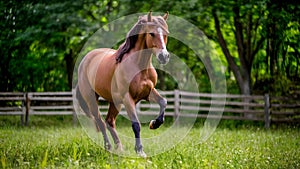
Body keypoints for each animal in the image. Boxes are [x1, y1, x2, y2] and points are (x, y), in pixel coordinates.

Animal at [76, 11, 170, 157]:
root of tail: (85, 60)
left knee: (109, 121)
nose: (164, 56)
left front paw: (154, 124)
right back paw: (108, 147)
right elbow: (136, 124)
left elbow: (163, 102)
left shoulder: (148, 92)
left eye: (166, 34)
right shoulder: (127, 98)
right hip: (92, 100)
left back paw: (119, 148)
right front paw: (140, 151)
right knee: (100, 122)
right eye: (151, 34)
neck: (138, 65)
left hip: (115, 102)